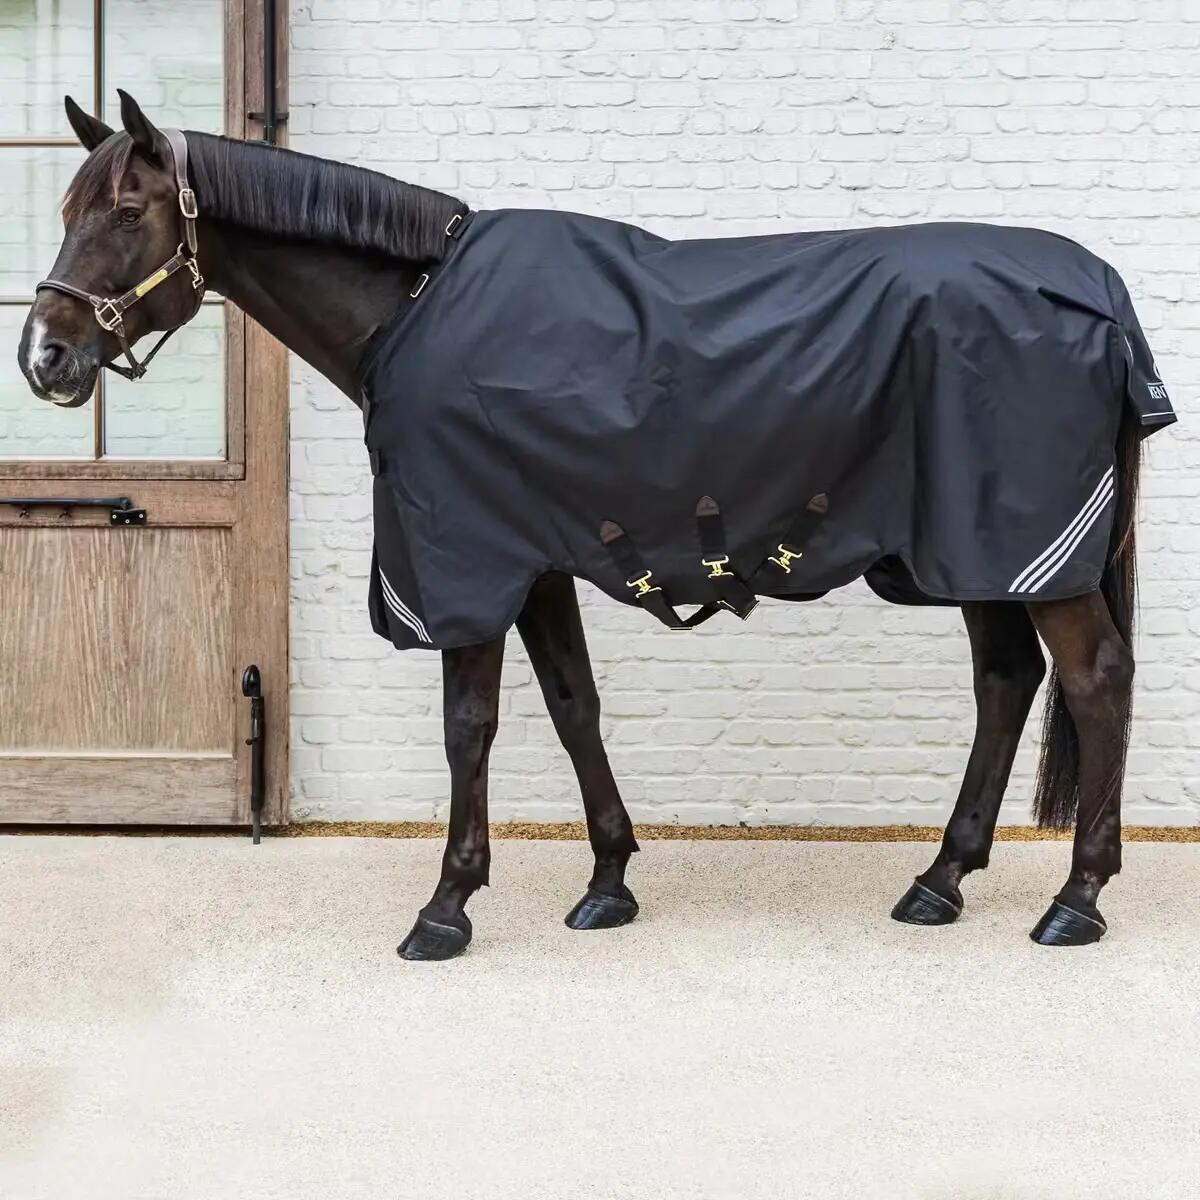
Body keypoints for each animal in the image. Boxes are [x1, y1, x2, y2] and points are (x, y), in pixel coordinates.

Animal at [19, 91, 1173, 958]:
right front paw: (609, 881)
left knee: (1094, 680)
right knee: (1007, 682)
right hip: (975, 556)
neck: (418, 303)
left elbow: (469, 726)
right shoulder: (535, 560)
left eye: (127, 213)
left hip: (1027, 554)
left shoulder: (468, 562)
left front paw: (447, 906)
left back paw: (1076, 900)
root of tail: (1098, 294)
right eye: (69, 205)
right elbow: (575, 706)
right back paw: (941, 880)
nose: (46, 359)